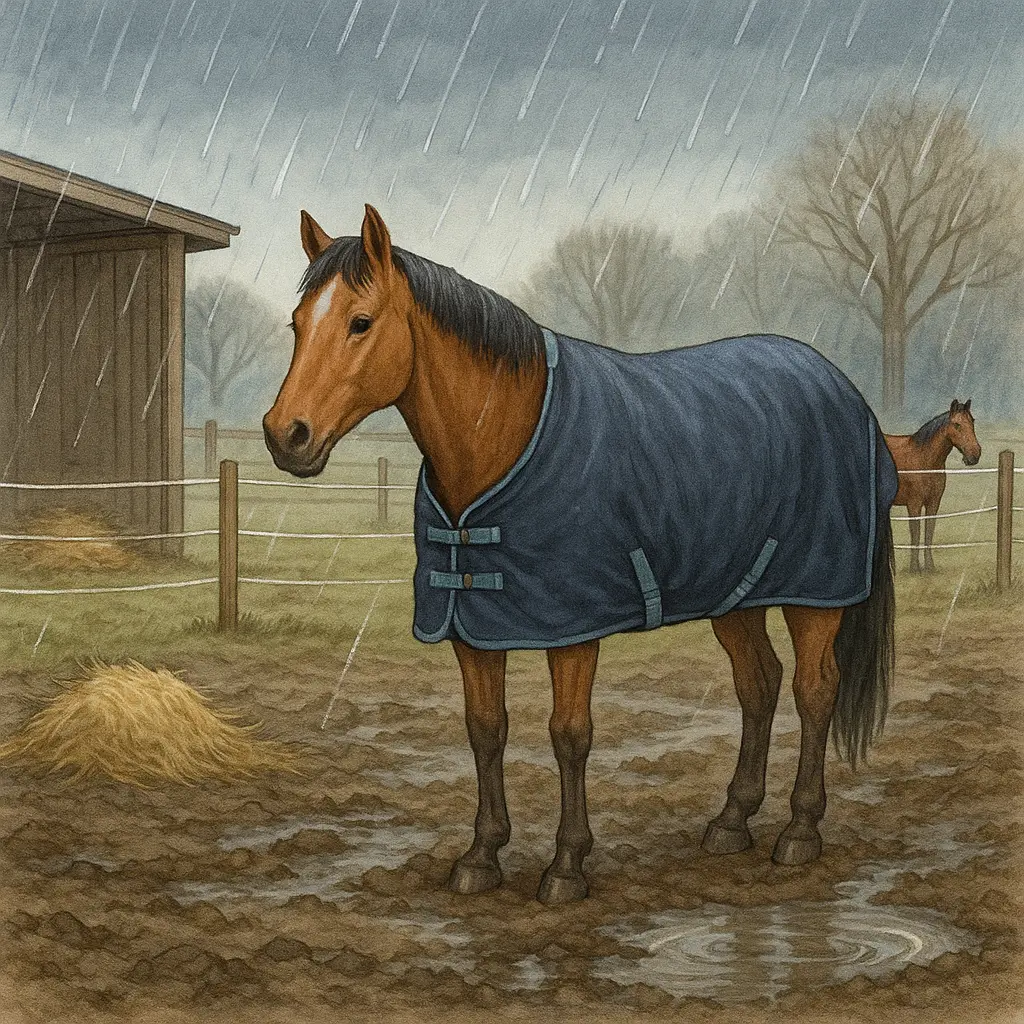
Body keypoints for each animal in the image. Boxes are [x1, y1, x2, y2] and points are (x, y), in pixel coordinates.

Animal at [264, 205, 897, 906]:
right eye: (297, 324)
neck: (502, 441)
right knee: (758, 685)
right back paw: (732, 821)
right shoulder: (472, 626)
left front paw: (566, 865)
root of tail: (845, 390)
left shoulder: (573, 629)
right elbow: (485, 729)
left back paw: (800, 830)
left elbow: (569, 735)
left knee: (815, 690)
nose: (286, 435)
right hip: (737, 593)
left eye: (360, 322)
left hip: (816, 593)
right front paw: (481, 856)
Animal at [884, 402, 981, 572]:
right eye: (957, 424)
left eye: (972, 421)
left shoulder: (933, 503)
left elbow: (929, 532)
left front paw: (929, 566)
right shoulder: (914, 504)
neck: (924, 458)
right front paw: (914, 568)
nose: (975, 454)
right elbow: (916, 533)